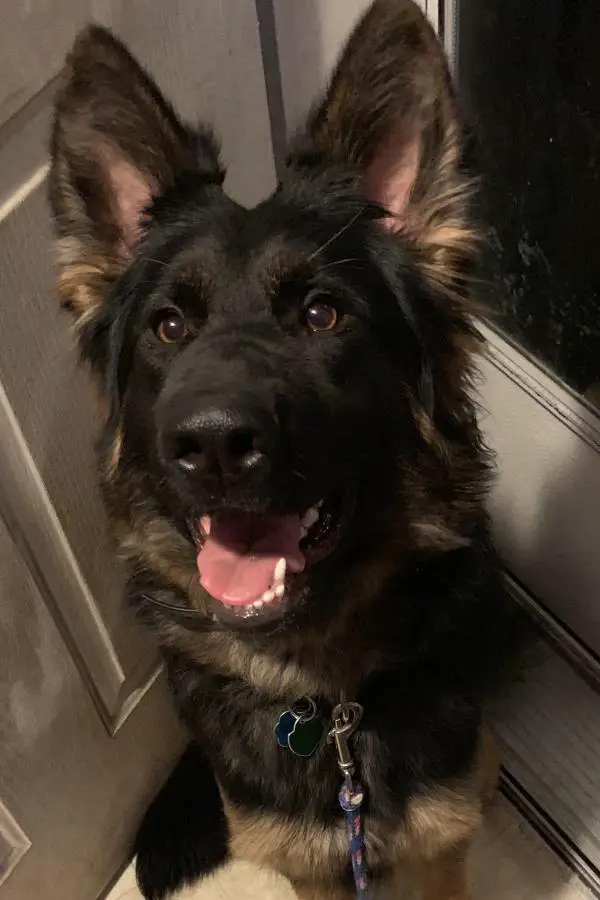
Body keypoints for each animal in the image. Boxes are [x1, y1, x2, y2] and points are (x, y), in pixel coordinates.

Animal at [49, 2, 524, 898]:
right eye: (169, 327)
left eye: (322, 315)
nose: (212, 445)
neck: (331, 711)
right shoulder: (310, 861)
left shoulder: (439, 846)